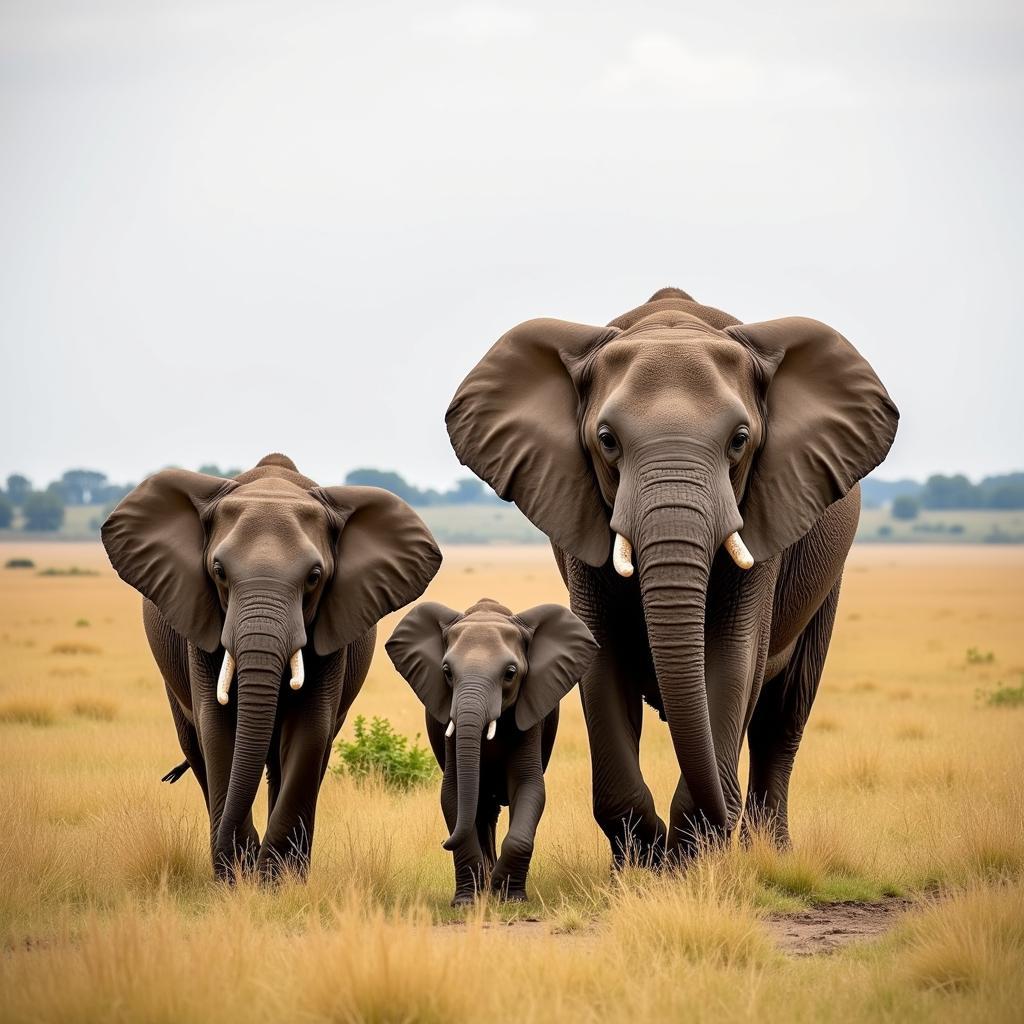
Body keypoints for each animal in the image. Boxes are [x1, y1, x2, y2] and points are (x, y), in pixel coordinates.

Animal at [99, 456, 440, 880]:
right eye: (218, 571)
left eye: (314, 577)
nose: (241, 856)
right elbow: (217, 728)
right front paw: (236, 879)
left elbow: (310, 729)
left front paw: (277, 881)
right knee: (197, 750)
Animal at [385, 598, 598, 905]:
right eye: (447, 672)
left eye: (510, 674)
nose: (443, 842)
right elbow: (453, 793)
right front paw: (467, 902)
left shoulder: (530, 713)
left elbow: (529, 787)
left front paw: (509, 897)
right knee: (481, 808)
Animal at [446, 288, 897, 864]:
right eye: (607, 440)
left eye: (740, 440)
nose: (721, 817)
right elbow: (602, 657)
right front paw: (642, 863)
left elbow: (734, 654)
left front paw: (692, 858)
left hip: (826, 579)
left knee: (782, 718)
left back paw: (770, 853)